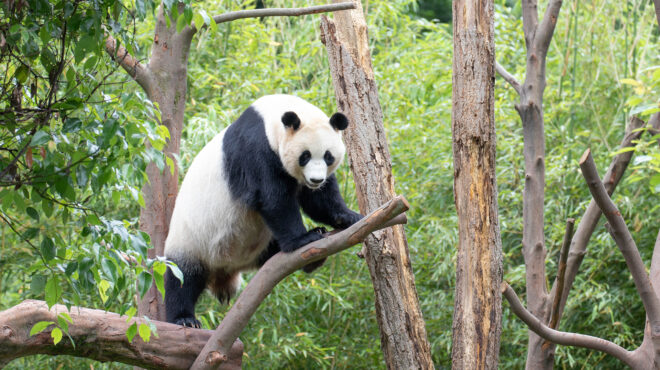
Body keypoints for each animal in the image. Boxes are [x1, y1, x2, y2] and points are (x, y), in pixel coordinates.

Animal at [163, 94, 364, 328]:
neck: (271, 119)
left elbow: (318, 200)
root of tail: (225, 270)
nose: (316, 180)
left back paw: (311, 260)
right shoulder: (256, 150)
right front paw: (304, 238)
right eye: (304, 156)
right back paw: (184, 319)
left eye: (328, 156)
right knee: (182, 278)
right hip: (192, 242)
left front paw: (349, 217)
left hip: (258, 244)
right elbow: (273, 199)